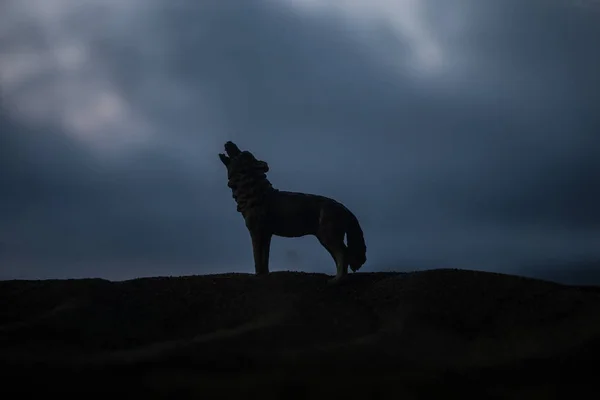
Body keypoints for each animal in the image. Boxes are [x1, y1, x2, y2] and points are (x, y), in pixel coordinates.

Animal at [217, 142, 366, 282]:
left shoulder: (256, 231)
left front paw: (258, 274)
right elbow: (264, 257)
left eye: (241, 153)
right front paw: (264, 274)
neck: (255, 194)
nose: (229, 142)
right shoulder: (266, 233)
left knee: (343, 255)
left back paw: (337, 280)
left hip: (328, 237)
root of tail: (344, 207)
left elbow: (257, 256)